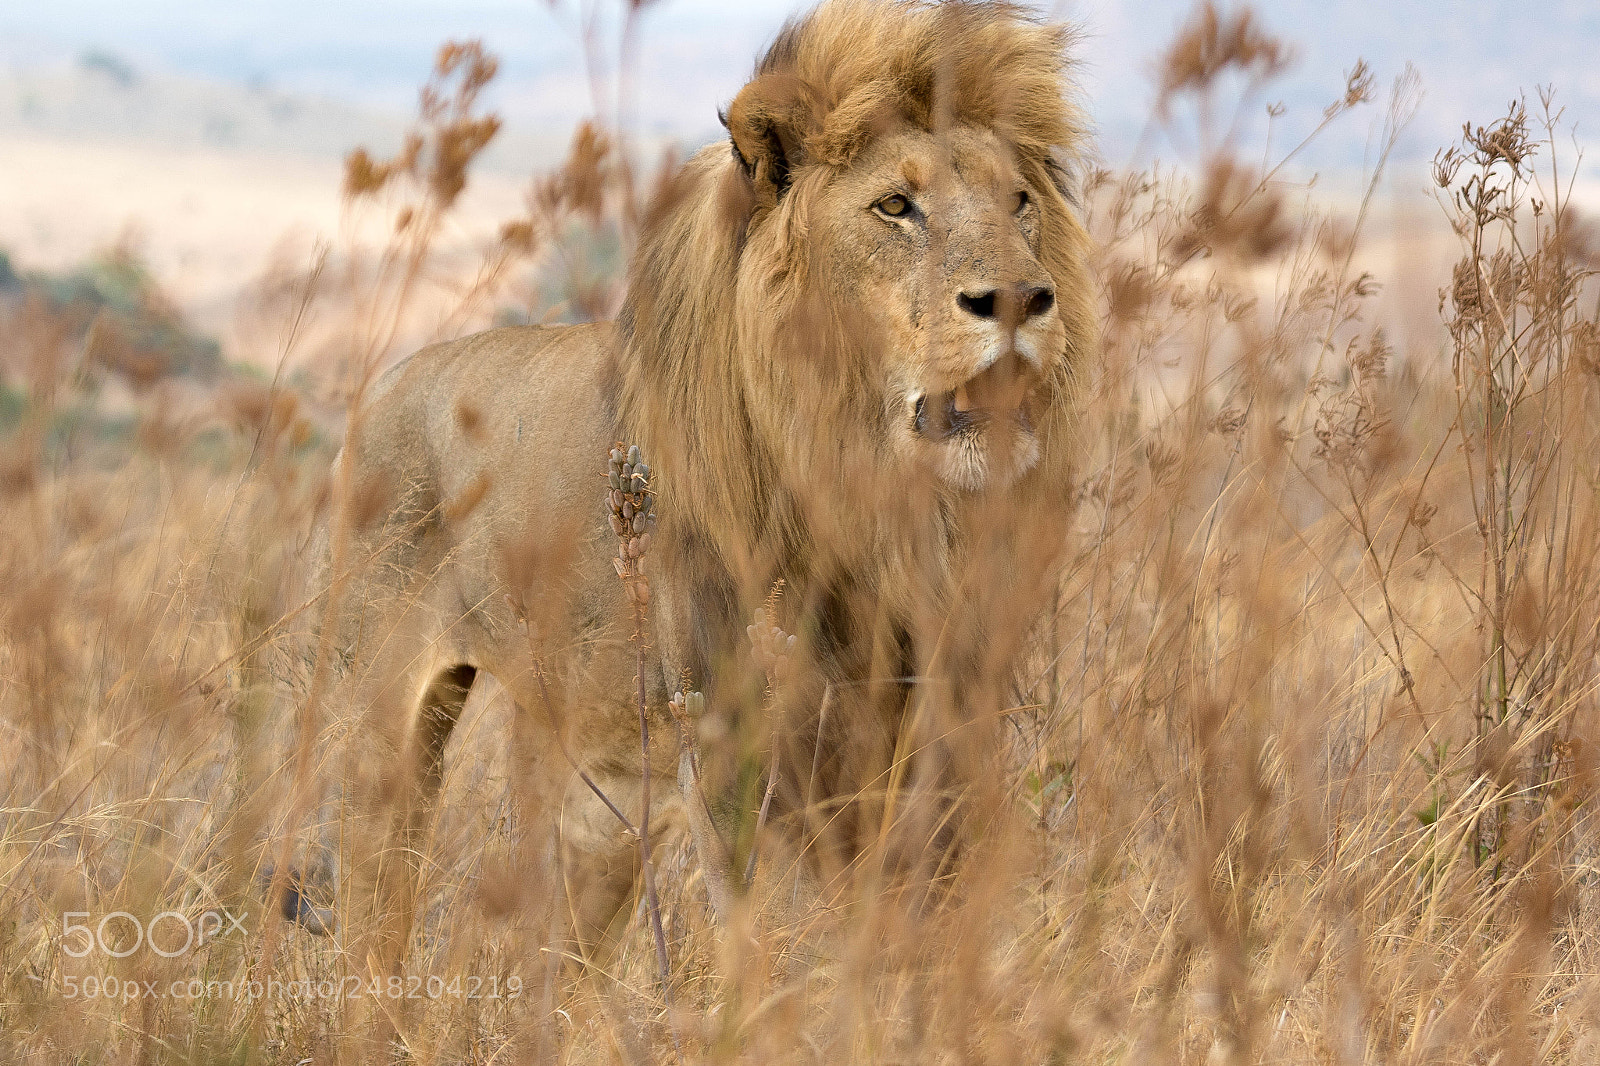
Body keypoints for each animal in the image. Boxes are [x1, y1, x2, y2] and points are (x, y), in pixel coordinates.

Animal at [311, 0, 1094, 973]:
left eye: (1019, 203)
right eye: (895, 206)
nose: (1022, 299)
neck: (863, 489)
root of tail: (379, 388)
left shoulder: (939, 713)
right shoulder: (735, 745)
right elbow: (761, 938)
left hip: (604, 793)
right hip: (382, 730)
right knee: (370, 908)